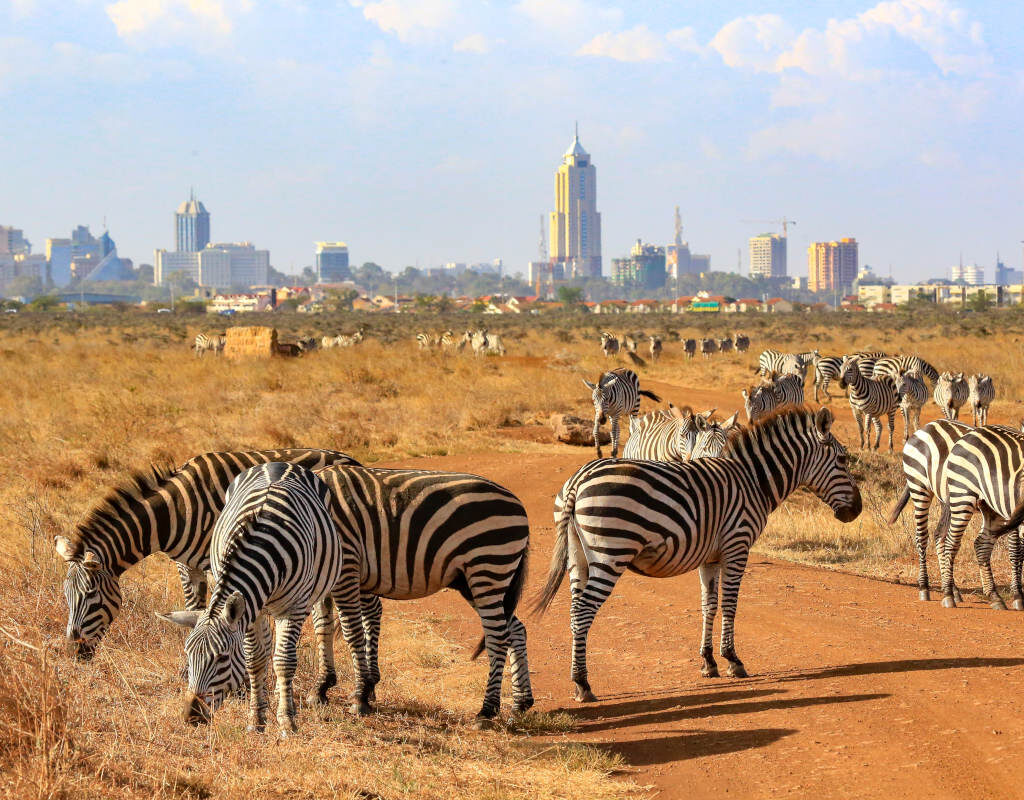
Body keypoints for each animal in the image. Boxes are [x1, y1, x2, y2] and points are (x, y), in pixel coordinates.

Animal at [51, 446, 358, 663]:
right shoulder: (186, 565)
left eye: (91, 595)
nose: (73, 652)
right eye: (66, 595)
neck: (174, 512)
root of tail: (351, 459)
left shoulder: (214, 564)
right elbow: (193, 609)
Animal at [161, 460, 342, 729]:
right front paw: (257, 718)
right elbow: (254, 659)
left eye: (222, 658)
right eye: (188, 656)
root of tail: (279, 463)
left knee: (307, 636)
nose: (191, 716)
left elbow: (284, 661)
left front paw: (287, 721)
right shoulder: (249, 609)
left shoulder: (293, 607)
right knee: (267, 647)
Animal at [540, 405, 860, 700]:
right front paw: (733, 661)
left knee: (574, 610)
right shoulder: (737, 546)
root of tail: (579, 480)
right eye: (842, 460)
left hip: (578, 557)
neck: (753, 481)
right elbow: (730, 605)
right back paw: (583, 684)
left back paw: (578, 681)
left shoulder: (710, 558)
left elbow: (709, 605)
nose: (856, 511)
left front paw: (708, 662)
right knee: (583, 611)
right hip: (611, 553)